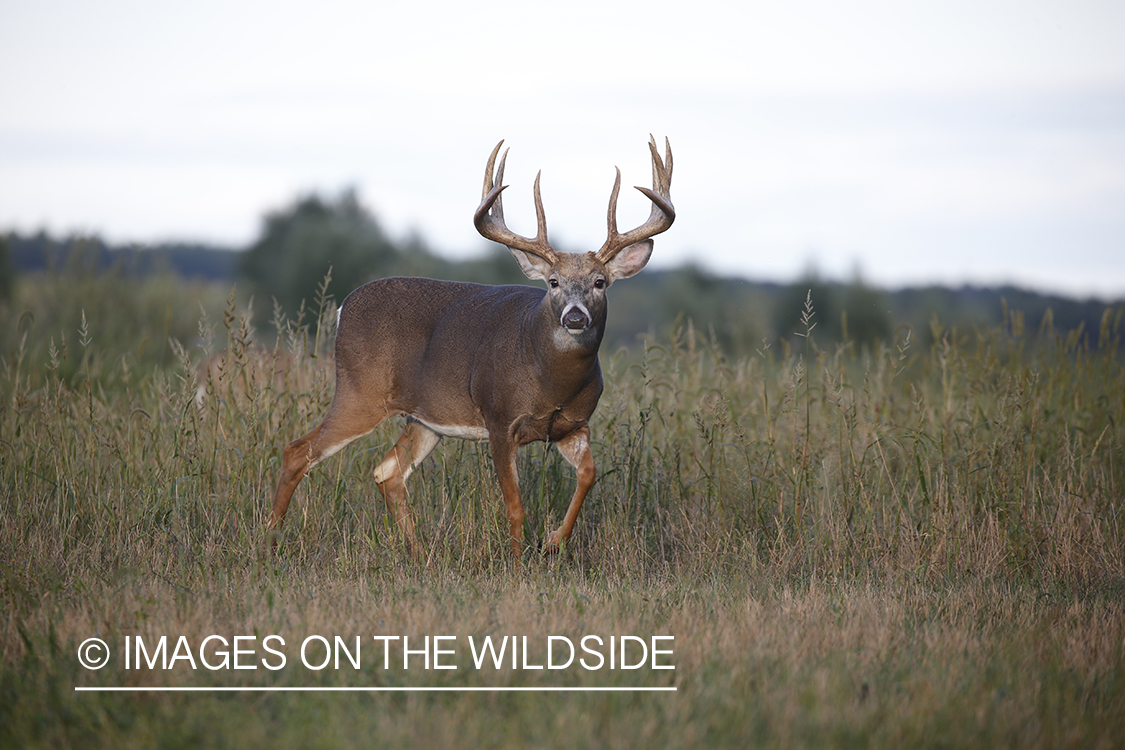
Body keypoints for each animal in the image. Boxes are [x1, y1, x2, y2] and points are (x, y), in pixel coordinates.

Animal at [266, 134, 670, 559]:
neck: (551, 381)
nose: (575, 317)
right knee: (297, 452)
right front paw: (518, 564)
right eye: (553, 282)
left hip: (423, 418)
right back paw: (270, 544)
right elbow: (515, 505)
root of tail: (343, 308)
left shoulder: (573, 425)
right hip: (360, 393)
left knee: (387, 471)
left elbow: (589, 475)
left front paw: (552, 542)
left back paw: (419, 555)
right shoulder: (499, 418)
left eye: (599, 282)